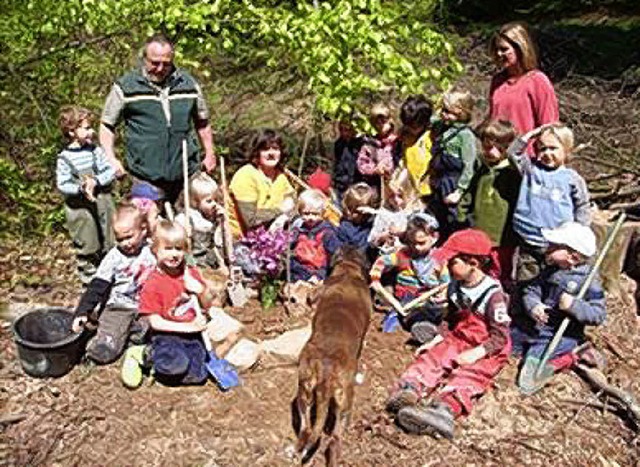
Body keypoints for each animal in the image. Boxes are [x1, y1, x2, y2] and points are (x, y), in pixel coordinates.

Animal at [292, 247, 372, 466]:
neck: (347, 271)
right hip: (344, 401)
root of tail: (326, 370)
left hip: (304, 391)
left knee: (307, 429)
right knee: (335, 439)